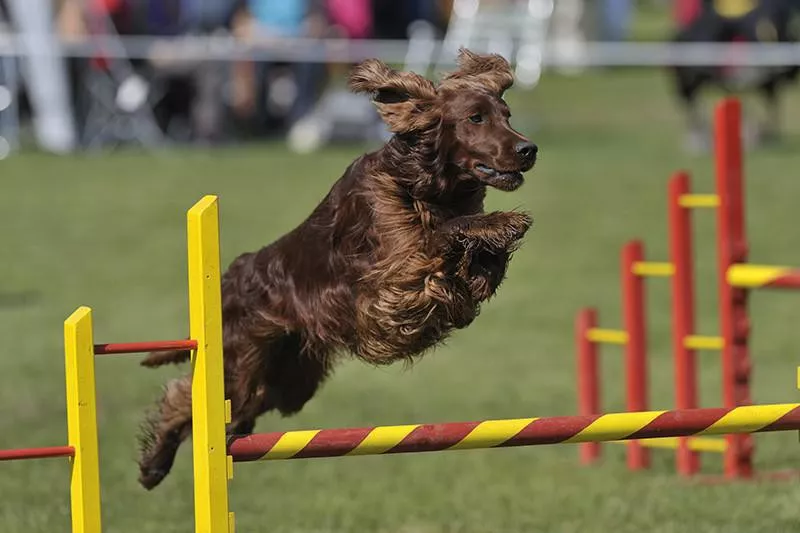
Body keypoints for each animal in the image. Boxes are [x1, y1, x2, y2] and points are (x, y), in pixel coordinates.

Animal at [138, 47, 536, 488]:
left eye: (507, 114)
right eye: (475, 118)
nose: (529, 149)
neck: (426, 187)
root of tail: (231, 276)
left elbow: (476, 269)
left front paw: (486, 249)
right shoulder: (396, 271)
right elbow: (442, 238)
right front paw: (501, 223)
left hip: (286, 378)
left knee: (235, 410)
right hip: (239, 363)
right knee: (183, 398)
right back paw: (153, 465)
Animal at [672, 0, 796, 150]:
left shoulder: (767, 85)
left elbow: (771, 107)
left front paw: (763, 134)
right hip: (690, 81)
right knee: (690, 103)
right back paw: (699, 137)